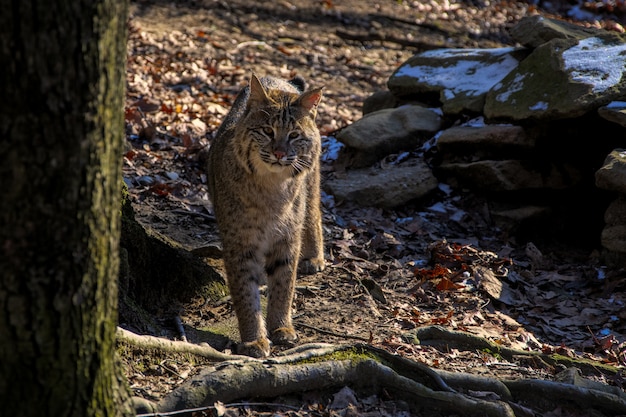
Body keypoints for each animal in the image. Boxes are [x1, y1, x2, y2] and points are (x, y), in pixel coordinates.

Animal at [207, 73, 324, 356]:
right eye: (267, 131)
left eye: (294, 135)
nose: (279, 153)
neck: (272, 185)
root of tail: (277, 78)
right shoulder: (239, 242)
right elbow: (245, 293)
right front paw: (254, 339)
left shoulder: (287, 237)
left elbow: (284, 284)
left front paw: (281, 326)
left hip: (311, 176)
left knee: (313, 211)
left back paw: (315, 256)